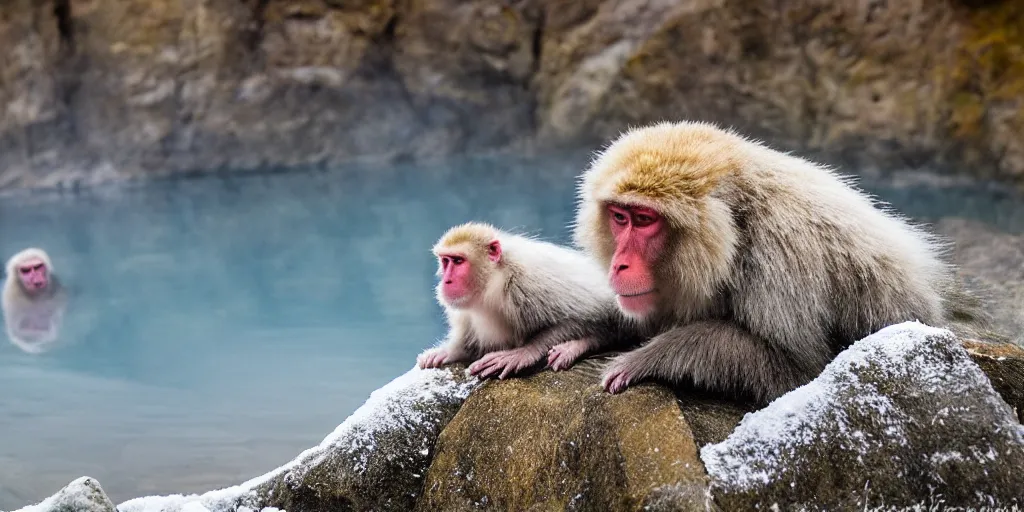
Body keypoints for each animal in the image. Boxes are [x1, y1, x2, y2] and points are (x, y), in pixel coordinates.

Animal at [419, 223, 634, 380]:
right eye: (445, 261)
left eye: (458, 261)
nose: (445, 281)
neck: (492, 281)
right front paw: (449, 351)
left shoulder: (527, 282)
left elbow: (585, 316)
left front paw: (524, 352)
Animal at [561, 120, 983, 403]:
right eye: (620, 217)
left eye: (645, 220)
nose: (619, 264)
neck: (736, 228)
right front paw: (586, 336)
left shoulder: (782, 258)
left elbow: (797, 372)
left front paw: (649, 357)